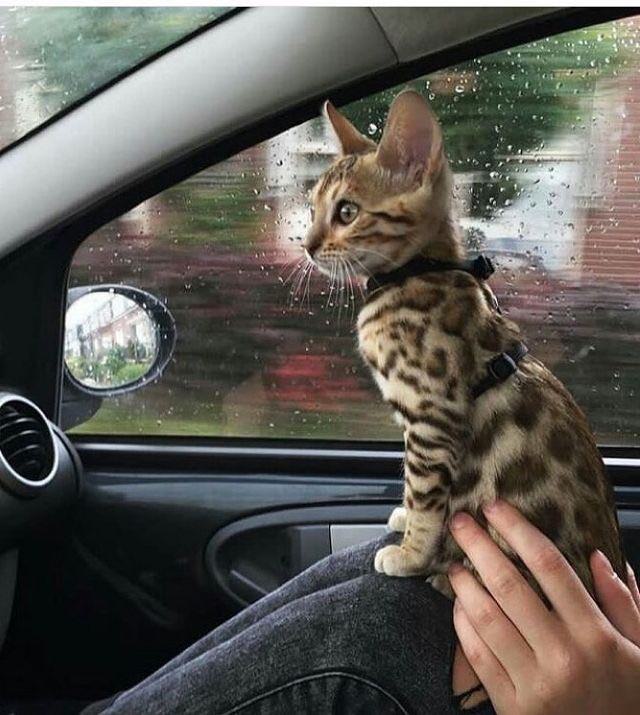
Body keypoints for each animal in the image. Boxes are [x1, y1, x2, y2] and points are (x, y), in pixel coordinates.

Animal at [302, 90, 626, 601]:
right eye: (312, 208)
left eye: (347, 212)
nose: (307, 246)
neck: (414, 273)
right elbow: (413, 488)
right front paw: (406, 523)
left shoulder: (432, 416)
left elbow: (425, 494)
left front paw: (411, 554)